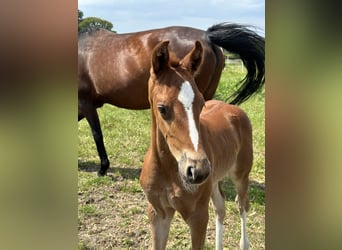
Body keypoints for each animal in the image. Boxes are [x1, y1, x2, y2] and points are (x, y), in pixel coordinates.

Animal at [140, 40, 254, 249]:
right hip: (214, 178)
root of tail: (234, 109)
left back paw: (244, 243)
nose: (198, 170)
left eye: (201, 104)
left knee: (242, 205)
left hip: (241, 174)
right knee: (221, 208)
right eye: (162, 108)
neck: (168, 171)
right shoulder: (157, 213)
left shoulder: (198, 216)